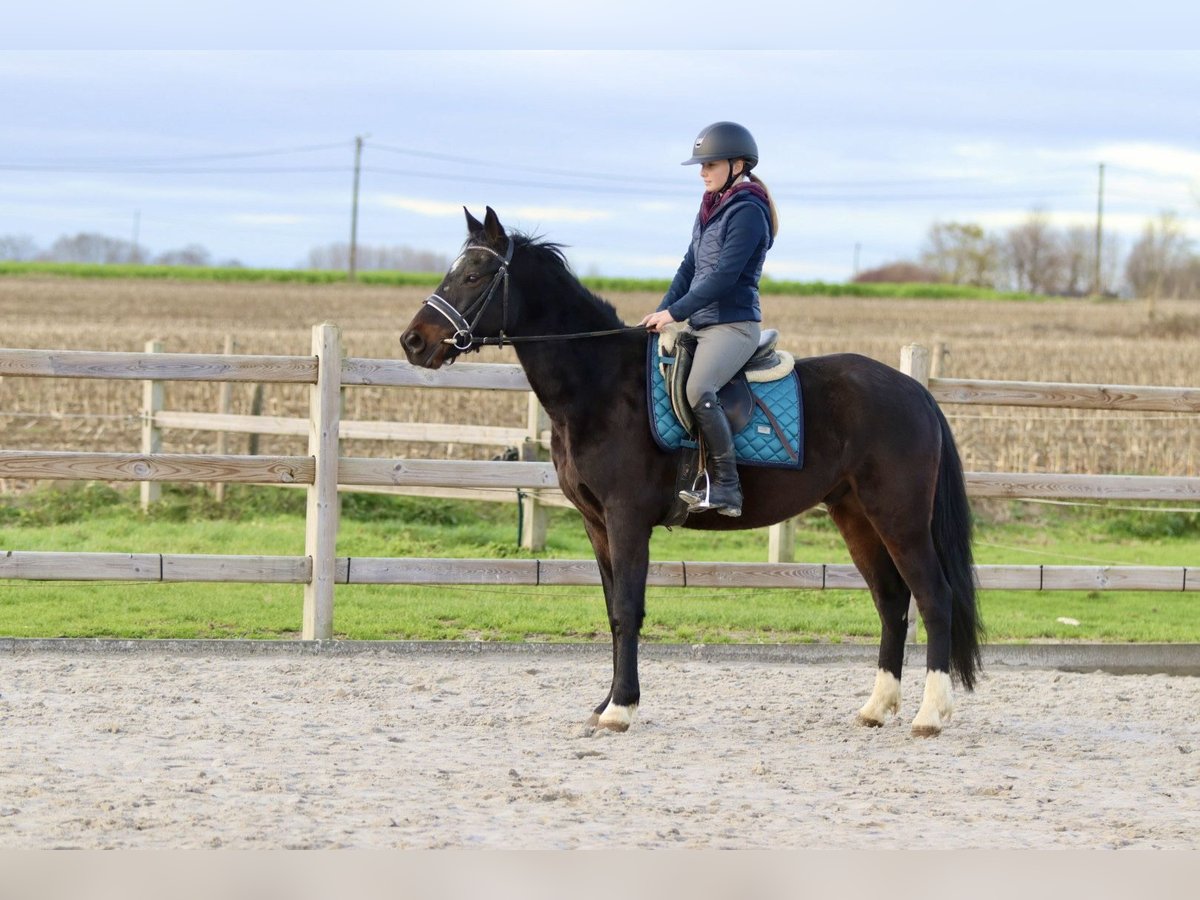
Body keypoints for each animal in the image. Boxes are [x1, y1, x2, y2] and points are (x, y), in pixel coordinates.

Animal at [400, 207, 983, 737]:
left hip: (900, 518)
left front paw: (620, 709)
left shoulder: (626, 519)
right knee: (891, 600)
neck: (600, 384)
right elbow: (613, 611)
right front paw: (606, 703)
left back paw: (930, 716)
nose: (413, 342)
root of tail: (914, 391)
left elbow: (627, 609)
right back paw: (877, 708)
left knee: (934, 598)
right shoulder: (596, 523)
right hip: (855, 515)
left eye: (475, 275)